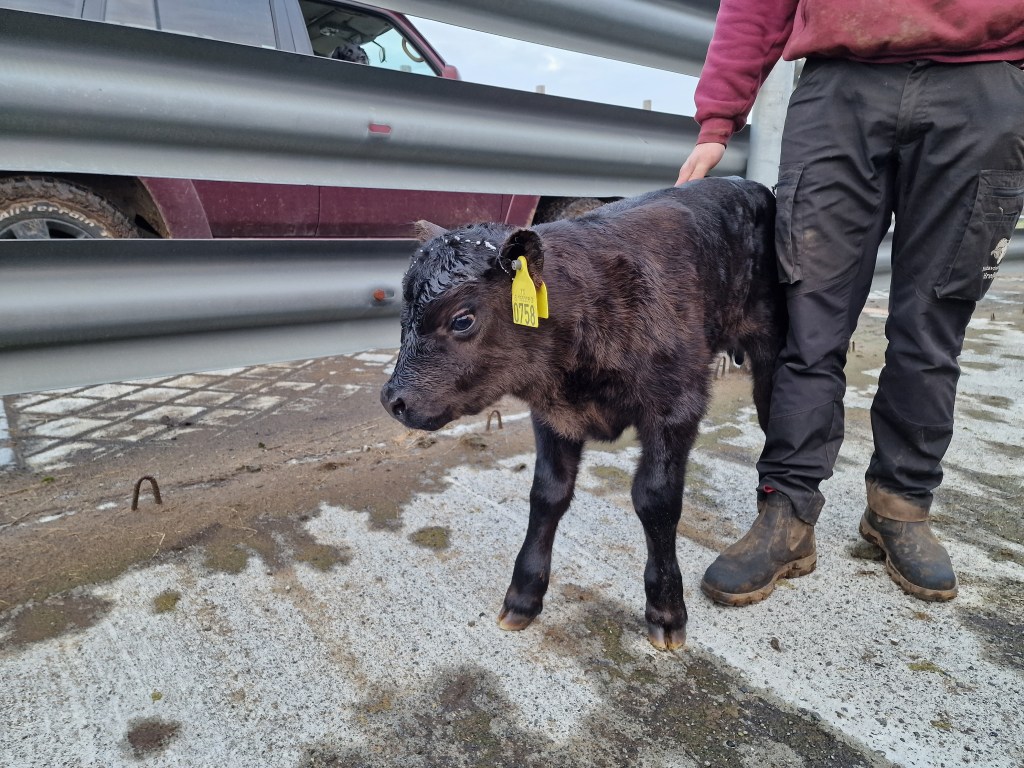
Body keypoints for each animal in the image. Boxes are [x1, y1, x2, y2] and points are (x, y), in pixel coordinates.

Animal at [380, 177, 785, 650]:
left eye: (462, 319)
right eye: (404, 315)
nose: (393, 400)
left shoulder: (675, 408)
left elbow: (656, 500)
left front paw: (667, 610)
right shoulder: (553, 416)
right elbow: (547, 495)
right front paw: (523, 596)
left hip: (772, 353)